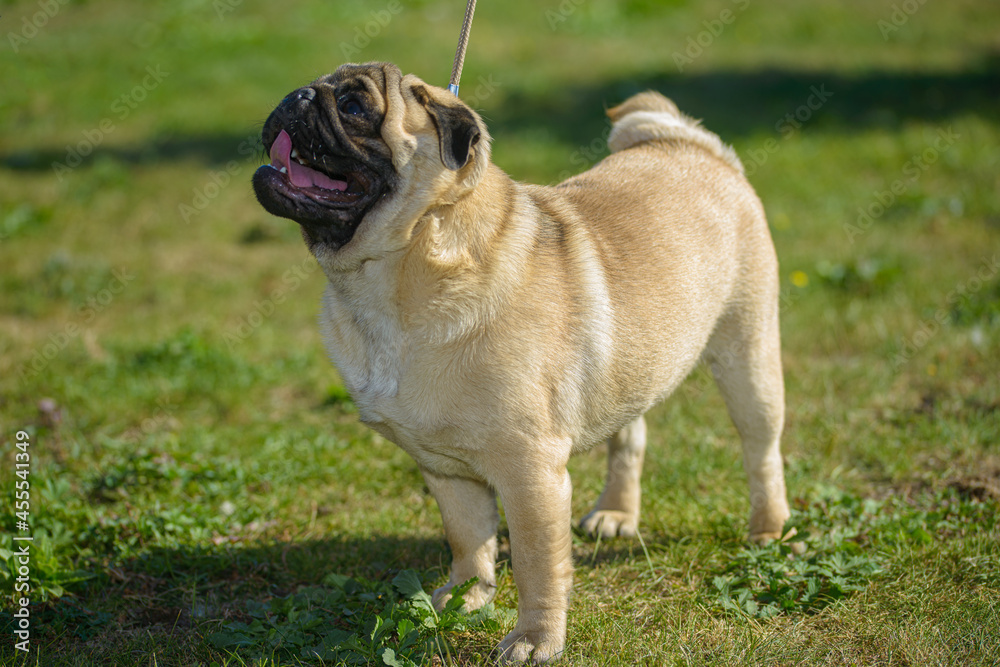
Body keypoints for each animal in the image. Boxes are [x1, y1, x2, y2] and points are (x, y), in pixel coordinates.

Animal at [254, 61, 792, 664]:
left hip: (748, 357)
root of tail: (691, 144)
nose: (299, 96)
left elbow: (539, 566)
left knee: (761, 450)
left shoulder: (530, 473)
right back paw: (617, 512)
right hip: (632, 369)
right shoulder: (446, 469)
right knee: (631, 437)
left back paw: (768, 531)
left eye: (353, 106)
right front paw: (465, 598)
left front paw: (536, 638)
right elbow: (469, 540)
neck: (399, 267)